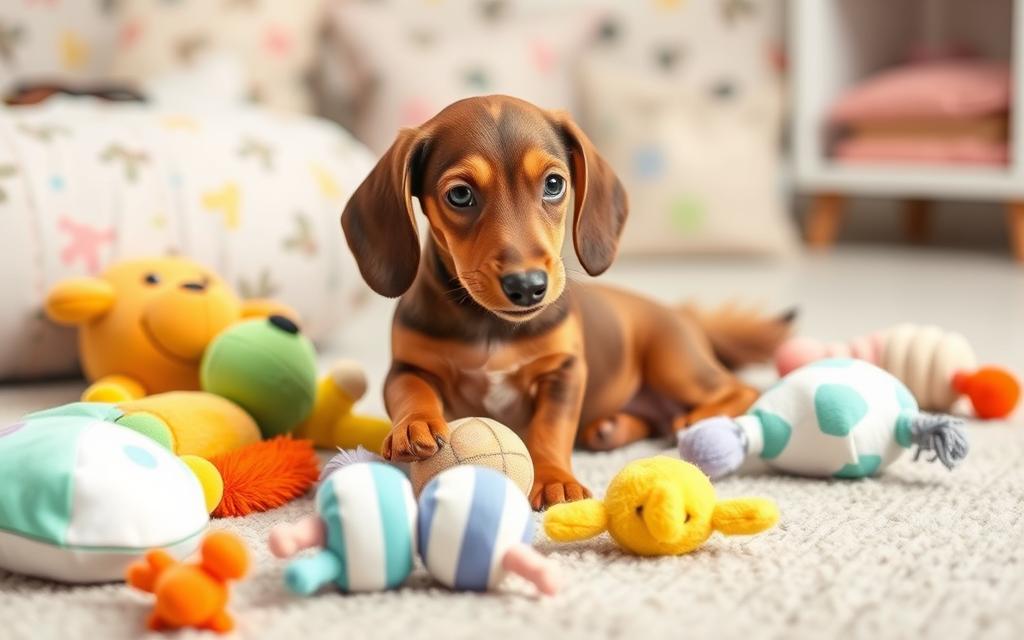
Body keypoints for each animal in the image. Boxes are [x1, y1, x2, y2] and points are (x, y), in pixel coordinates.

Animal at [344, 94, 790, 505]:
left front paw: (555, 479)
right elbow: (411, 392)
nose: (528, 285)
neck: (492, 325)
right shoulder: (407, 366)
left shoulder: (564, 371)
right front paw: (414, 424)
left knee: (744, 390)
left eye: (554, 184)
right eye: (459, 195)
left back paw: (697, 417)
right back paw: (612, 428)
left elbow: (550, 428)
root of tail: (684, 316)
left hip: (677, 365)